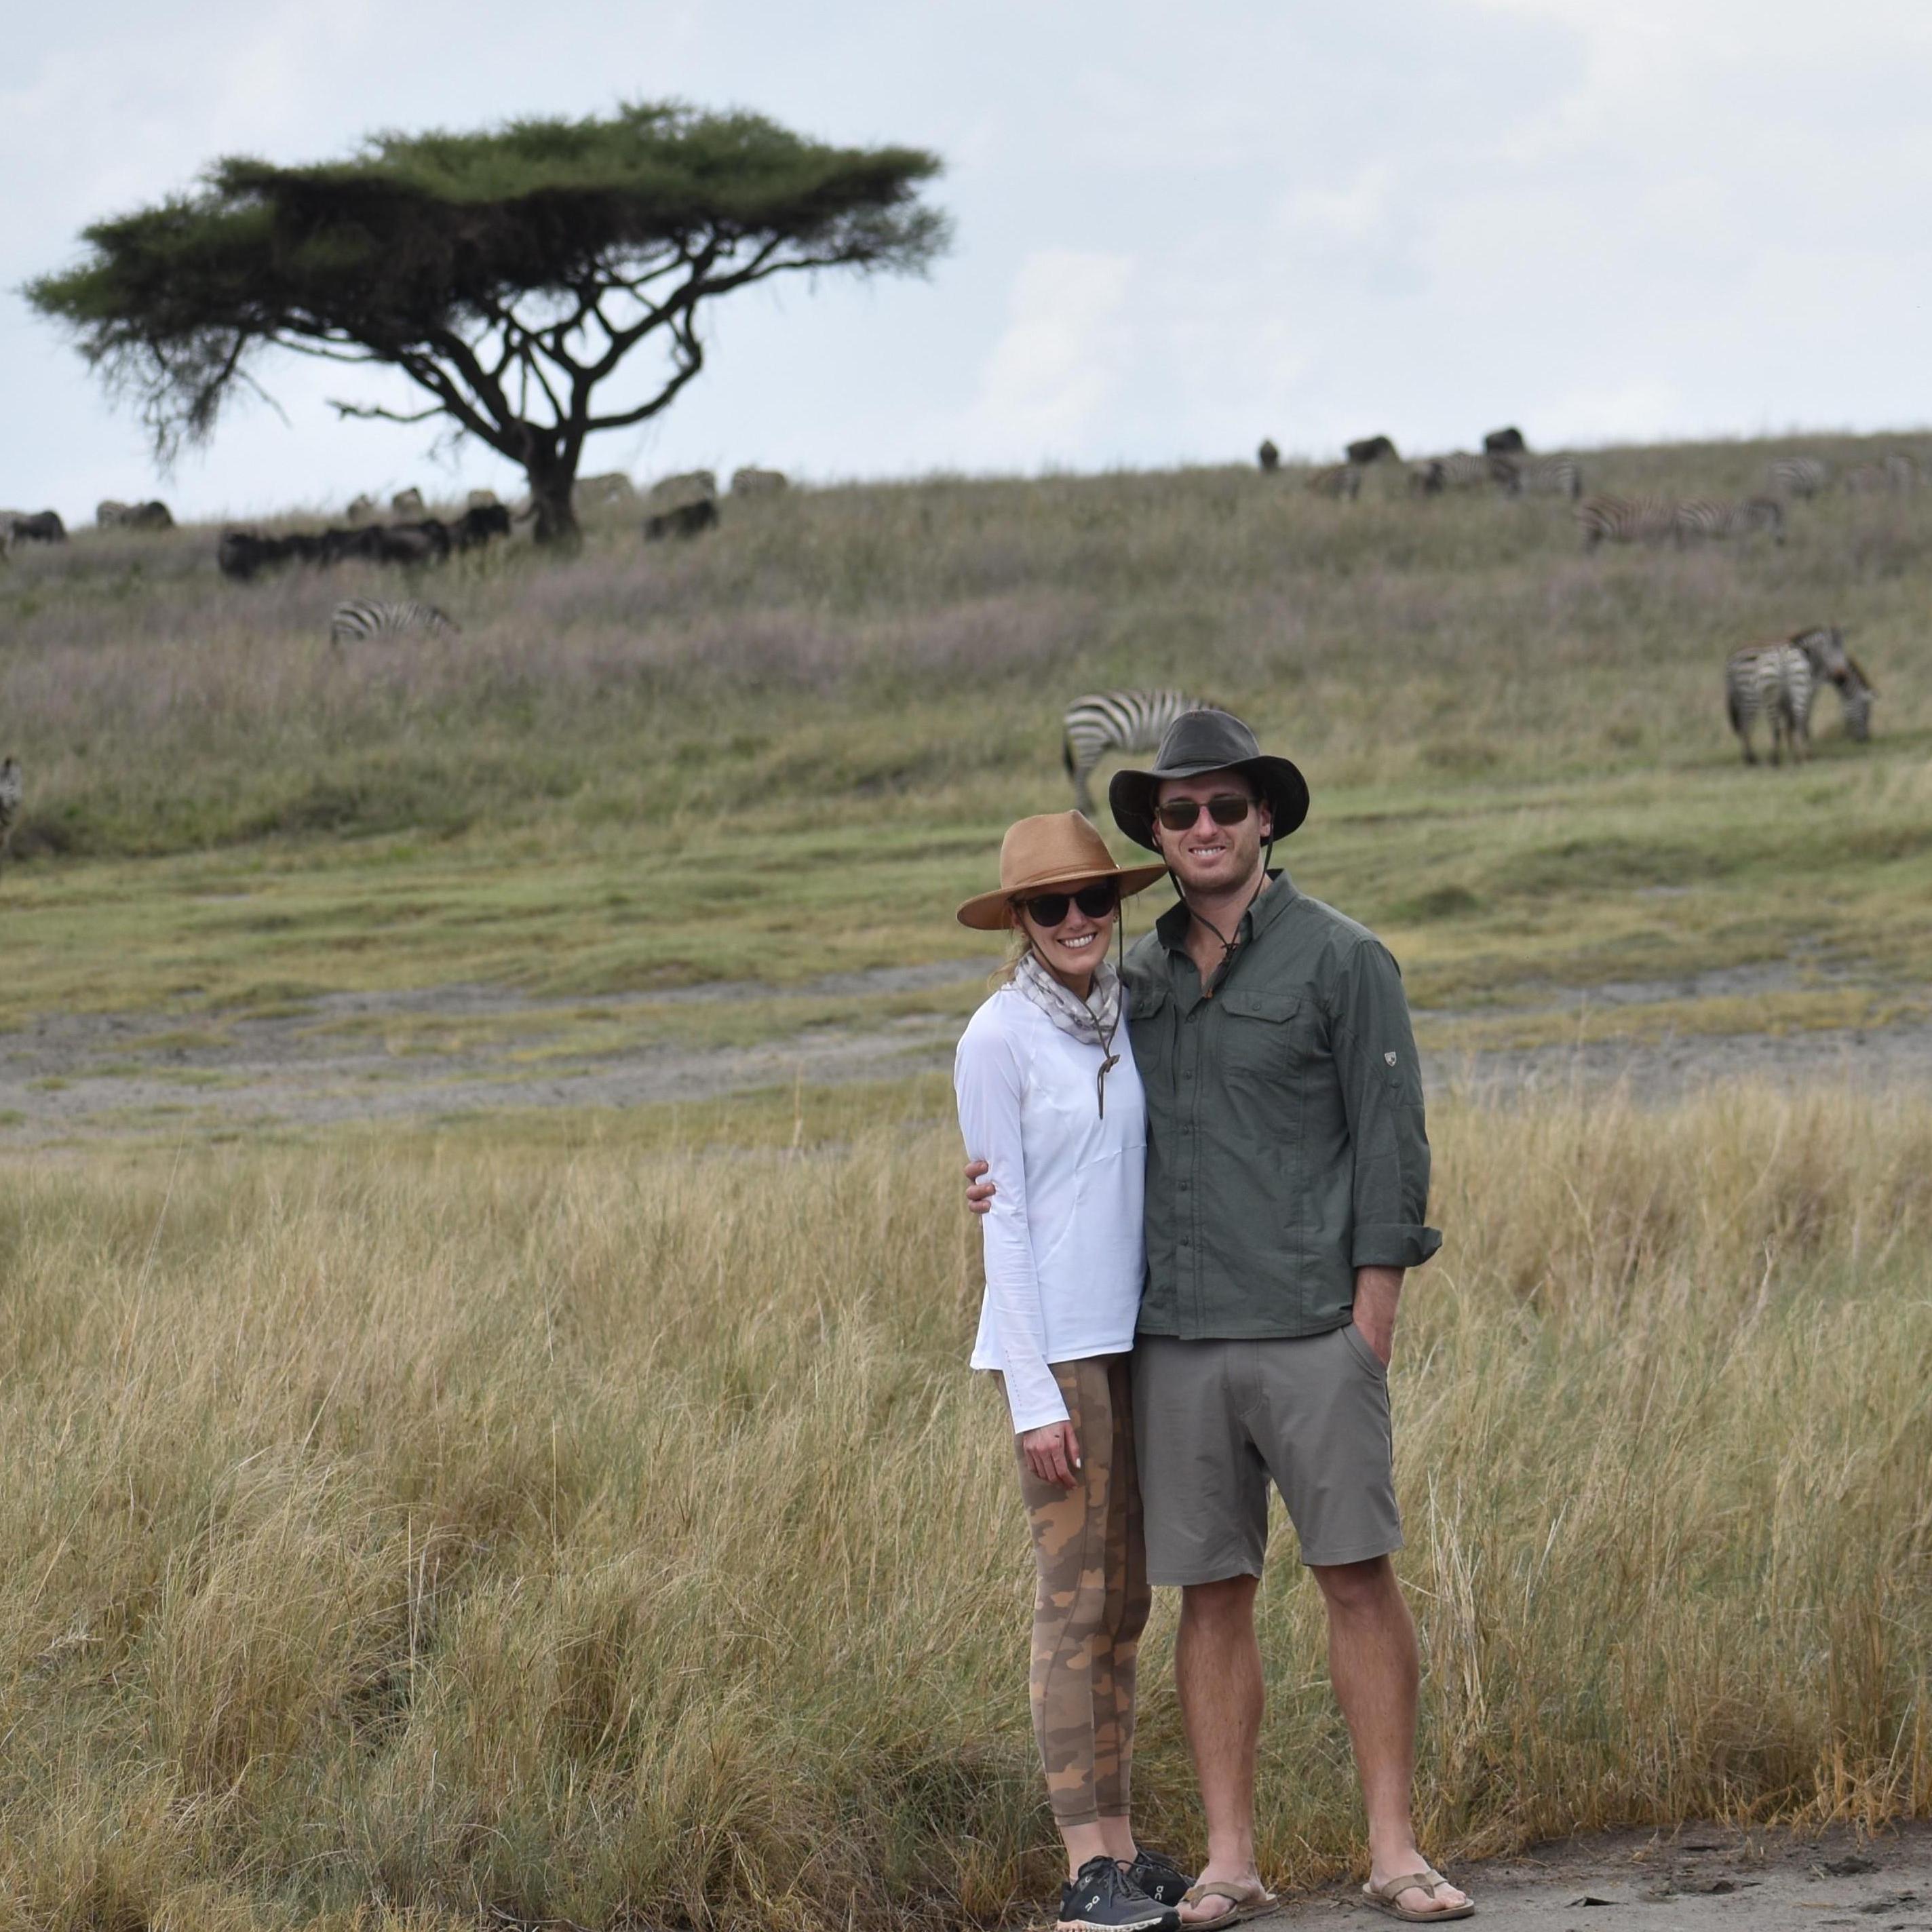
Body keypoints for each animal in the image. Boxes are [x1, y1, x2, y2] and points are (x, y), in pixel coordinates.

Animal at [1669, 498, 1785, 545]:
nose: (1782, 542)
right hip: (1689, 528)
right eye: (1777, 523)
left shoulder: (1744, 535)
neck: (1748, 518)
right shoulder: (1740, 533)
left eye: (1781, 523)